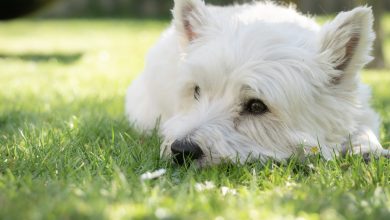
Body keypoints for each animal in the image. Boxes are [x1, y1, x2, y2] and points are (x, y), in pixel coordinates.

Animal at [126, 0, 388, 165]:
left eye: (256, 106)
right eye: (196, 91)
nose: (181, 150)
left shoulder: (362, 111)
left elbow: (362, 128)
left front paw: (369, 149)